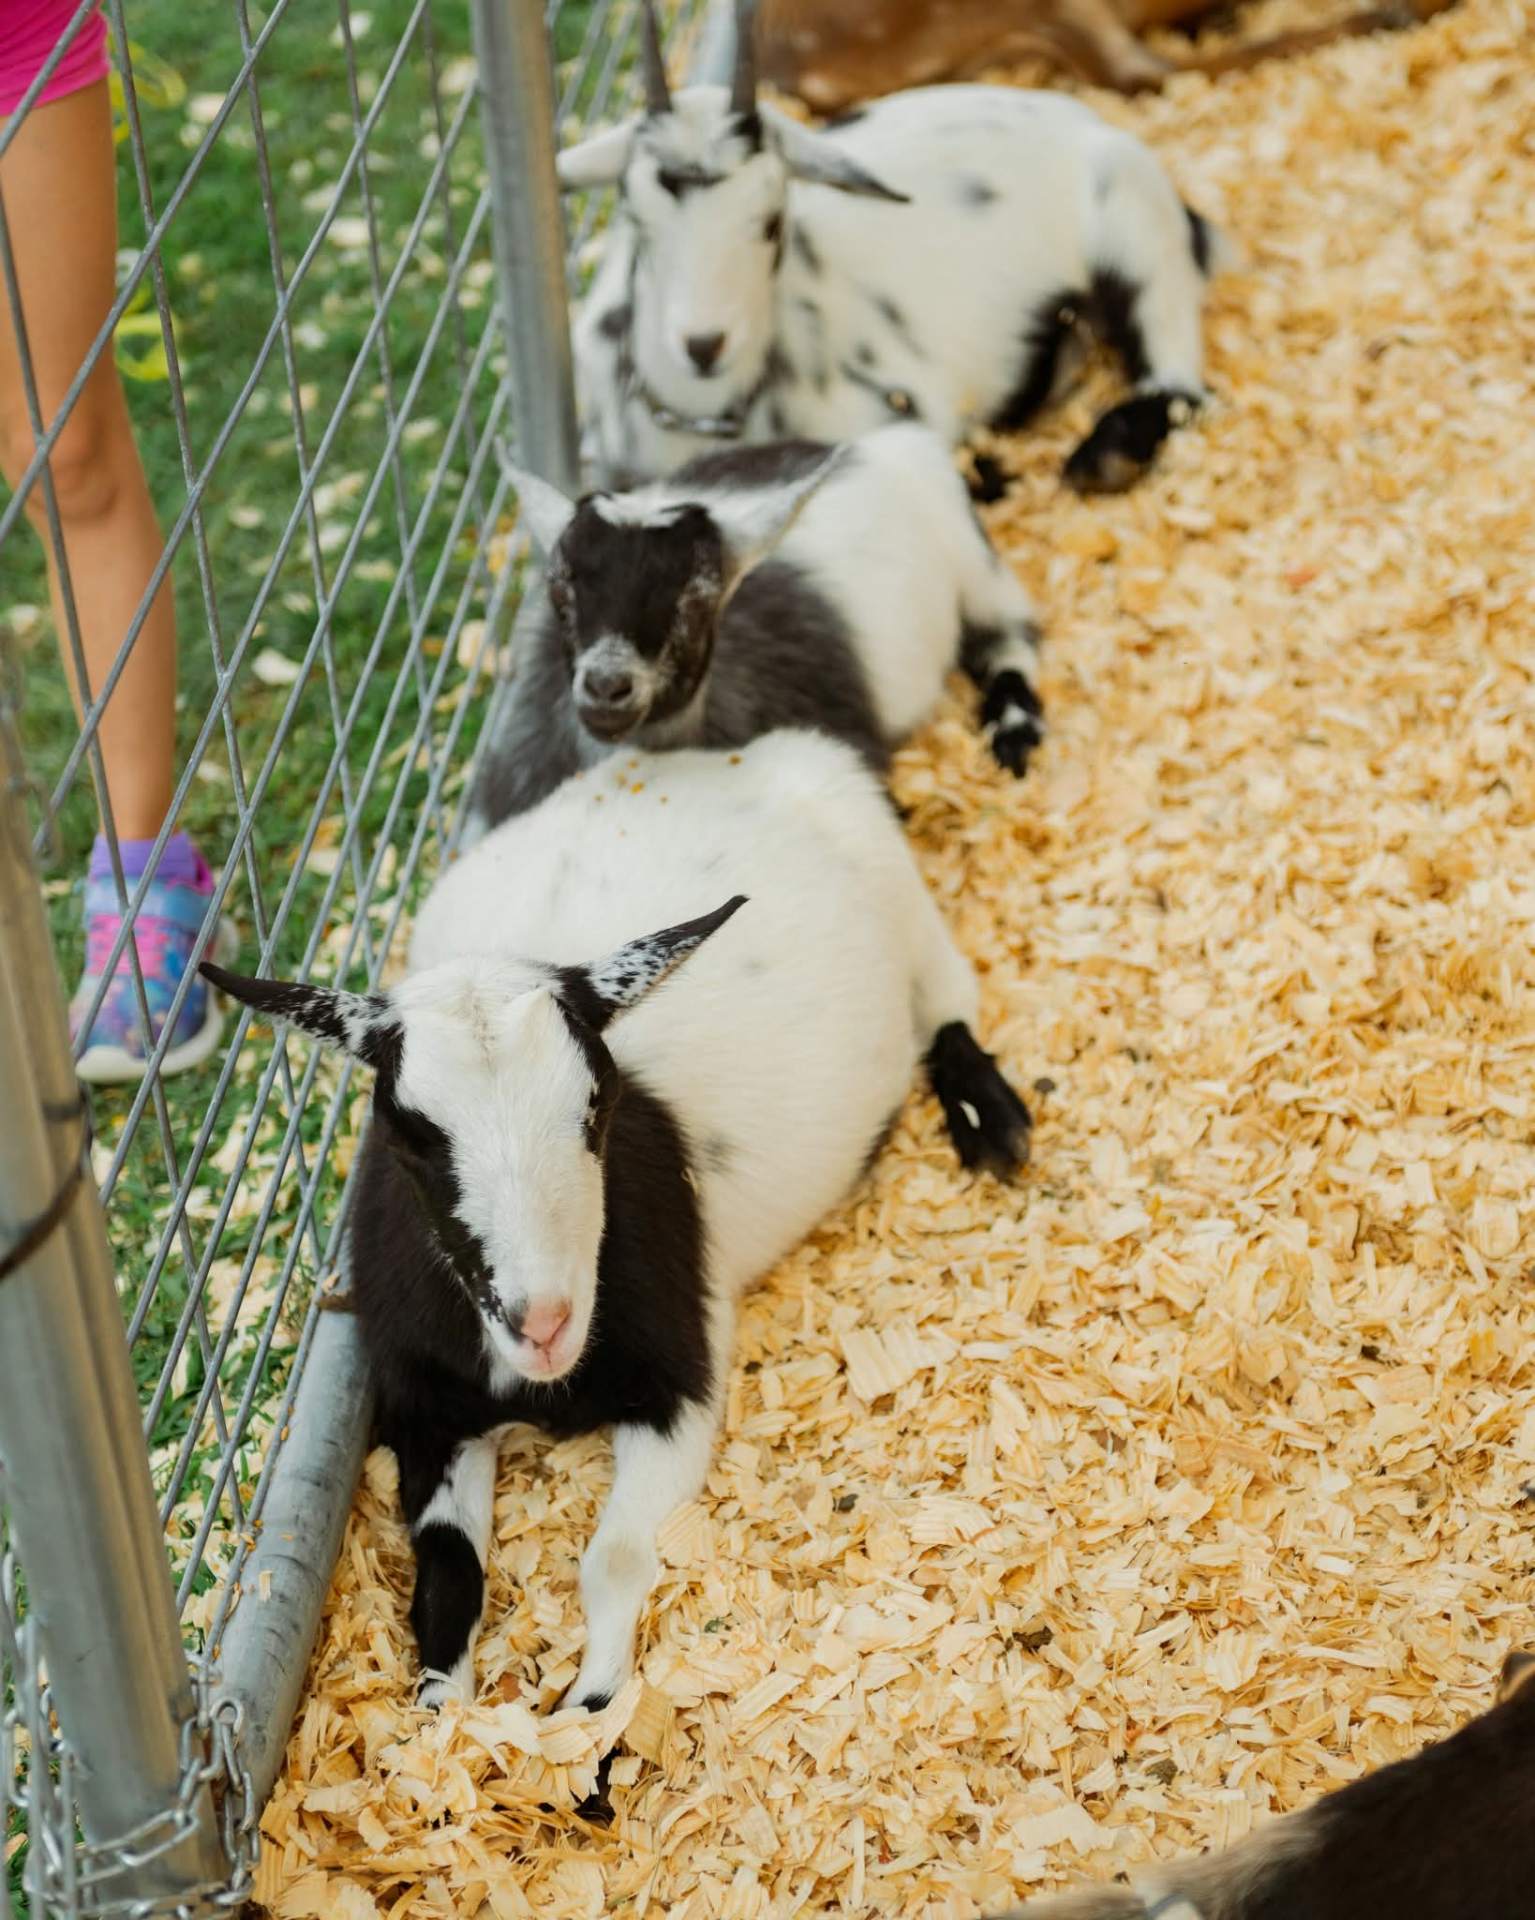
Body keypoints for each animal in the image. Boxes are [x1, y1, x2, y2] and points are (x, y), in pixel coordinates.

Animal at [203, 728, 1033, 1716]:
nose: (544, 1322)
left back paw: (992, 1120)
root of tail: (713, 761)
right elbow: (448, 1577)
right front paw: (446, 1716)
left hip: (902, 897)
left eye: (598, 1105)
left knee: (950, 1000)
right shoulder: (422, 1411)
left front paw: (587, 1723)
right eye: (405, 1132)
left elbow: (617, 1559)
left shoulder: (681, 1384)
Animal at [466, 425, 1043, 840]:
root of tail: (868, 444)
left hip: (974, 561)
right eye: (558, 589)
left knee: (1012, 637)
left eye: (699, 597)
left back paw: (1014, 728)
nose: (607, 687)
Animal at [560, 2, 1224, 493]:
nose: (703, 344)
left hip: (1132, 219)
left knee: (1178, 378)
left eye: (773, 219)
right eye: (635, 216)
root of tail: (1083, 118)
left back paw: (1106, 457)